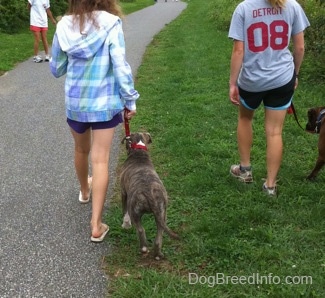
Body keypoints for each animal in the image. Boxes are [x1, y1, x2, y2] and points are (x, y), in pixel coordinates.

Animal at [119, 132, 178, 260]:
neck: (139, 151)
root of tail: (148, 193)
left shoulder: (123, 192)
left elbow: (124, 211)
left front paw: (125, 224)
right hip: (162, 213)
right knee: (158, 237)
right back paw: (158, 255)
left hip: (135, 211)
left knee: (141, 230)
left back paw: (144, 248)